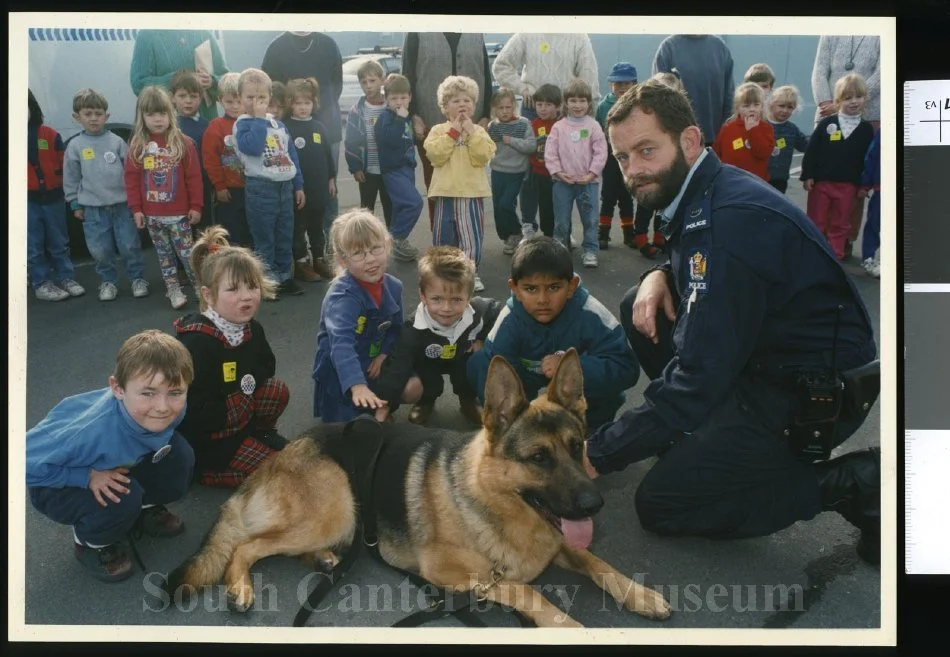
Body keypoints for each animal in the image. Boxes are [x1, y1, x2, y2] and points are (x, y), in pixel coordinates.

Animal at [165, 348, 668, 624]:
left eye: (577, 446)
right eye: (539, 458)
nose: (594, 503)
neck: (491, 498)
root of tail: (278, 456)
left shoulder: (561, 541)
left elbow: (595, 560)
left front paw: (640, 594)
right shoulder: (455, 575)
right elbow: (529, 592)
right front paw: (576, 628)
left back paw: (324, 558)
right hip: (337, 503)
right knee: (245, 545)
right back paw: (241, 587)